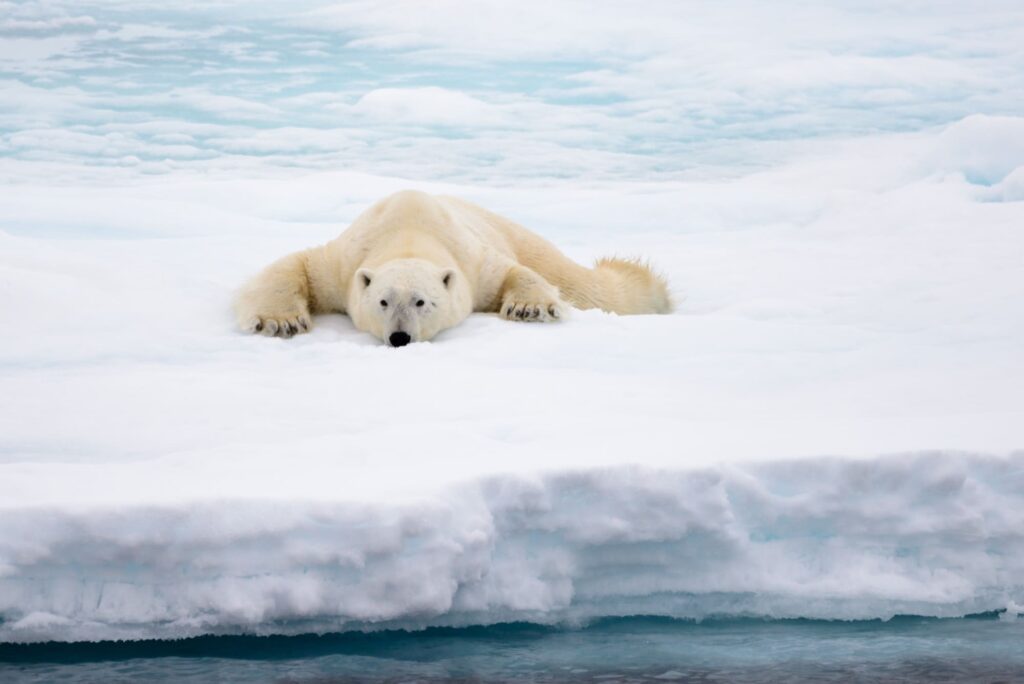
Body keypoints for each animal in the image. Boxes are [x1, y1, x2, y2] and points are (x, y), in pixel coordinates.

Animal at [234, 190, 672, 346]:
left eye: (421, 302)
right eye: (382, 301)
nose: (400, 338)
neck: (408, 230)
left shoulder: (472, 261)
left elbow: (511, 272)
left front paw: (528, 308)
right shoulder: (344, 261)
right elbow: (299, 265)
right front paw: (281, 322)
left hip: (520, 236)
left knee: (589, 285)